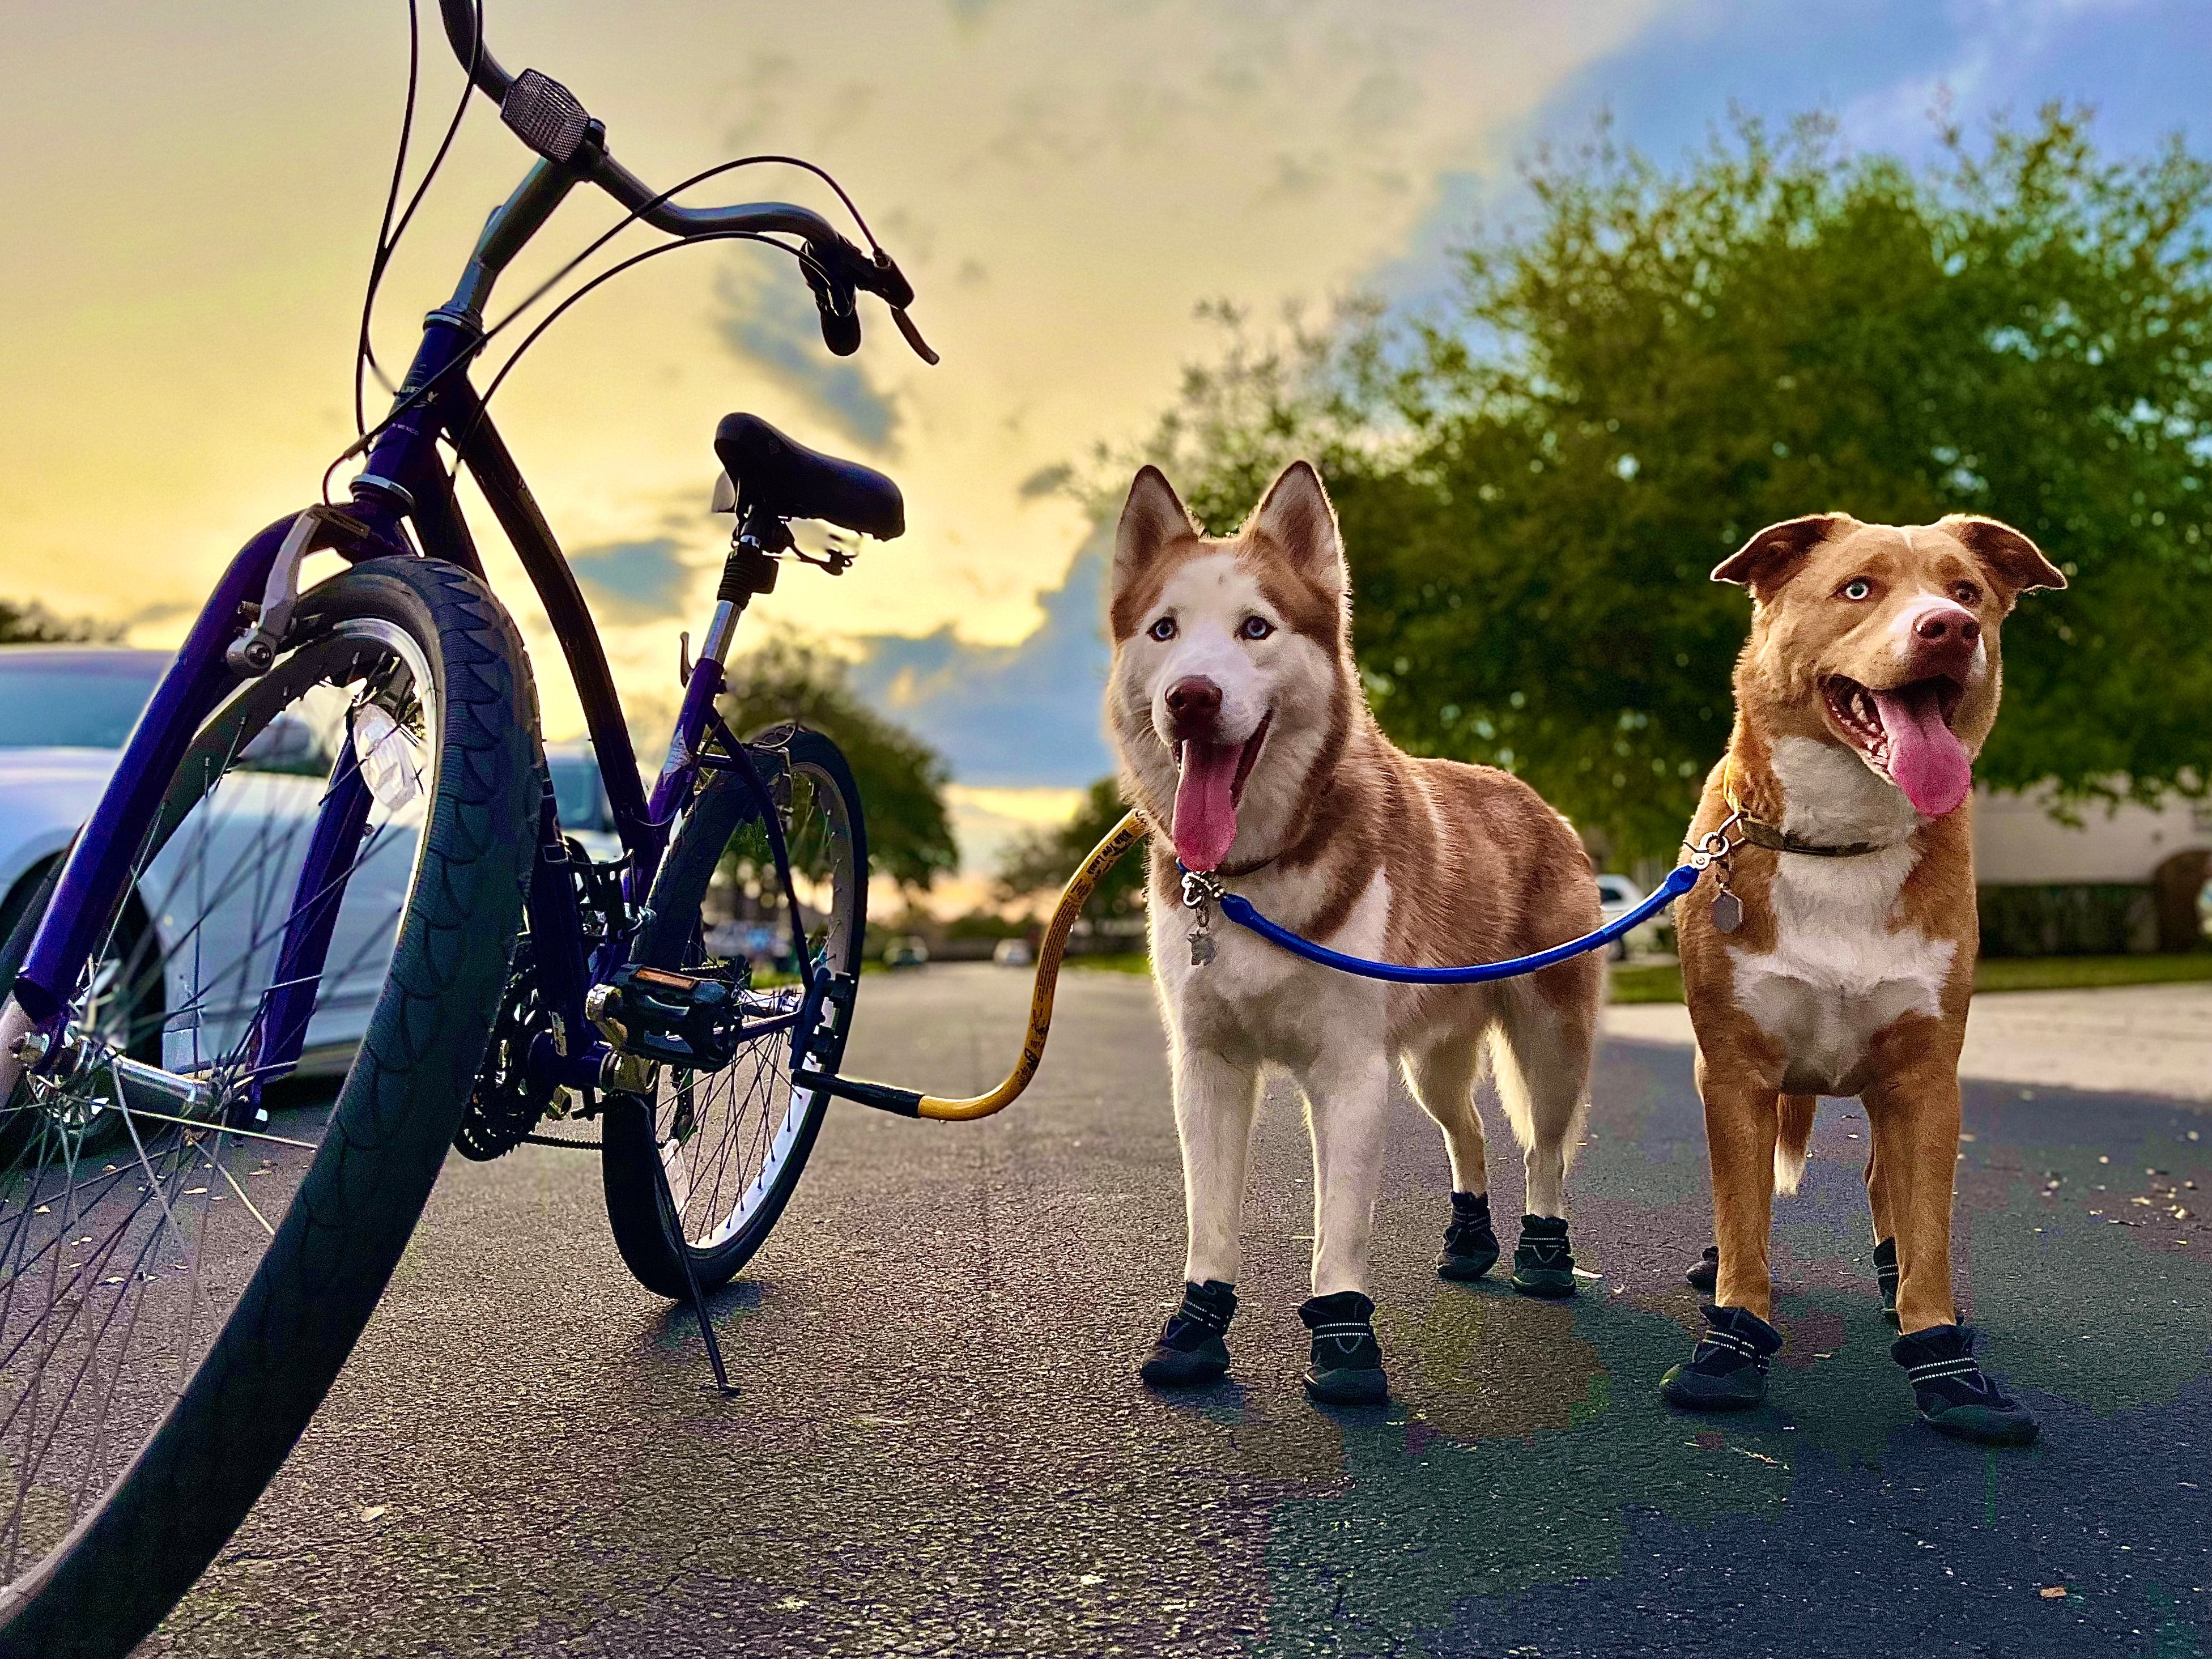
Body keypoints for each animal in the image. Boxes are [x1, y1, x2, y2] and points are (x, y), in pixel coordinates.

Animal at [1106, 462, 1610, 1406]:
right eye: (1164, 630)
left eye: (1256, 627)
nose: (1191, 697)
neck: (1246, 879)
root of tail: (1534, 797)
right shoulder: (1207, 1065)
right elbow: (1210, 1218)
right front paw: (1195, 1331)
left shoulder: (1349, 1072)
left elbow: (1338, 1226)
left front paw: (1345, 1344)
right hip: (1430, 1062)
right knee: (1469, 1132)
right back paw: (1468, 1244)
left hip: (1550, 1041)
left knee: (1545, 1149)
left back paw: (1543, 1256)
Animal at [1663, 513, 2061, 1451]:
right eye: (1857, 588)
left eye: (1966, 592)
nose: (1949, 630)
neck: (1840, 842)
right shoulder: (1735, 1074)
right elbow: (1745, 1223)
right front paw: (1731, 1345)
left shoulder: (1926, 1080)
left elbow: (1927, 1232)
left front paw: (1945, 1363)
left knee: (1888, 1190)